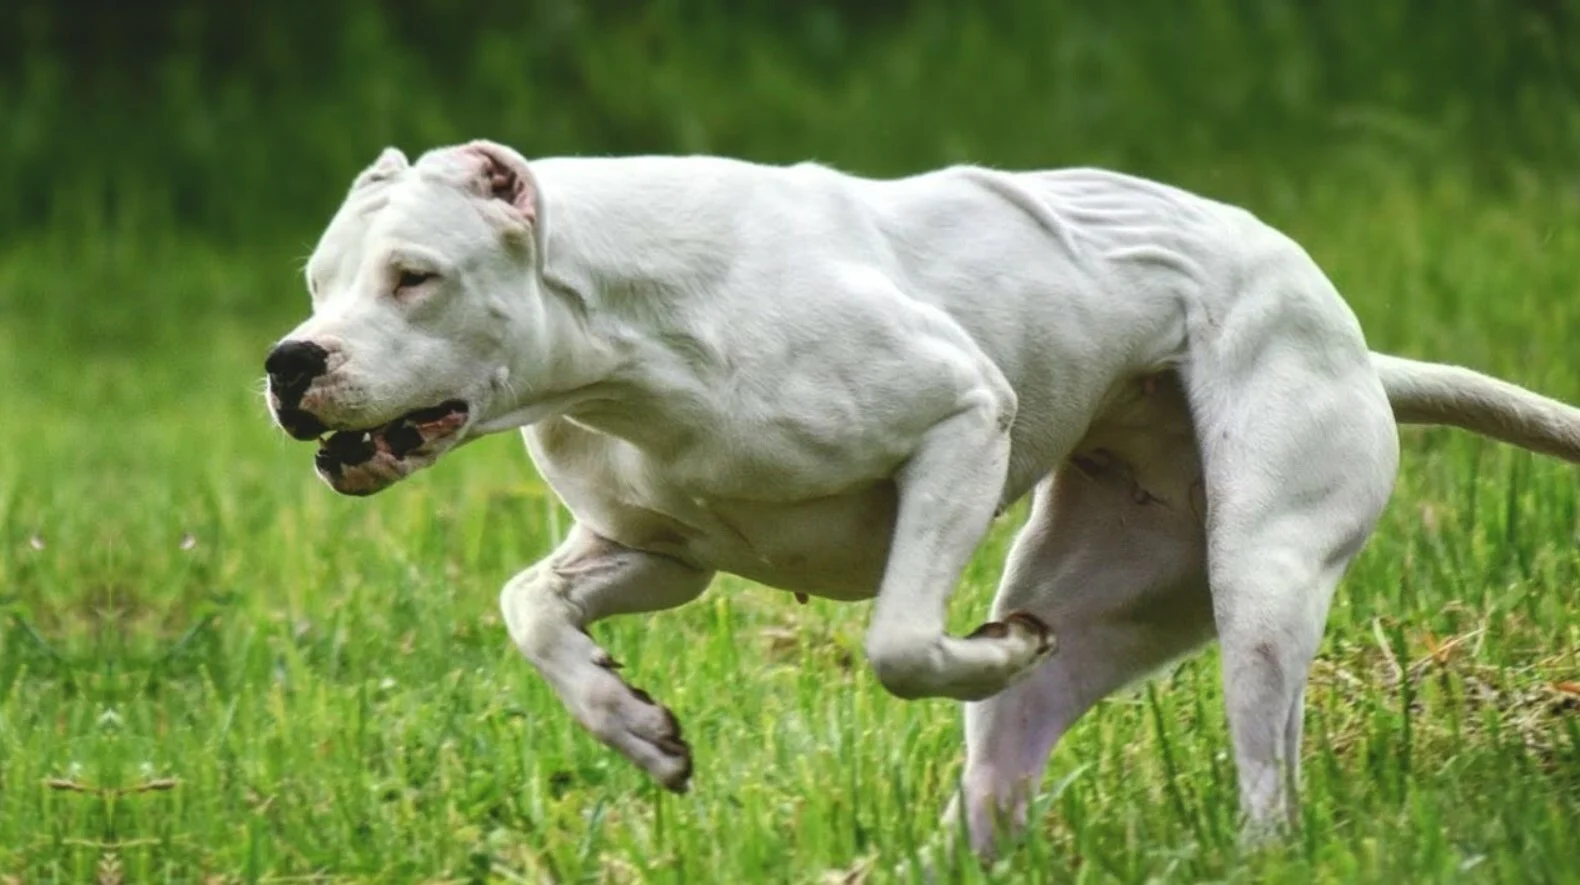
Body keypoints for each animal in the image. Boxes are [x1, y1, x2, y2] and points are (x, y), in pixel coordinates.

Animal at [265, 143, 1573, 859]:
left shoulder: (959, 424)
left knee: (1263, 775)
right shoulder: (656, 553)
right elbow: (528, 607)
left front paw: (982, 648)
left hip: (1257, 576)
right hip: (1119, 591)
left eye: (415, 278)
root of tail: (1356, 349)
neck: (618, 330)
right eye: (317, 282)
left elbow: (898, 642)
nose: (288, 361)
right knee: (1002, 763)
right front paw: (628, 722)